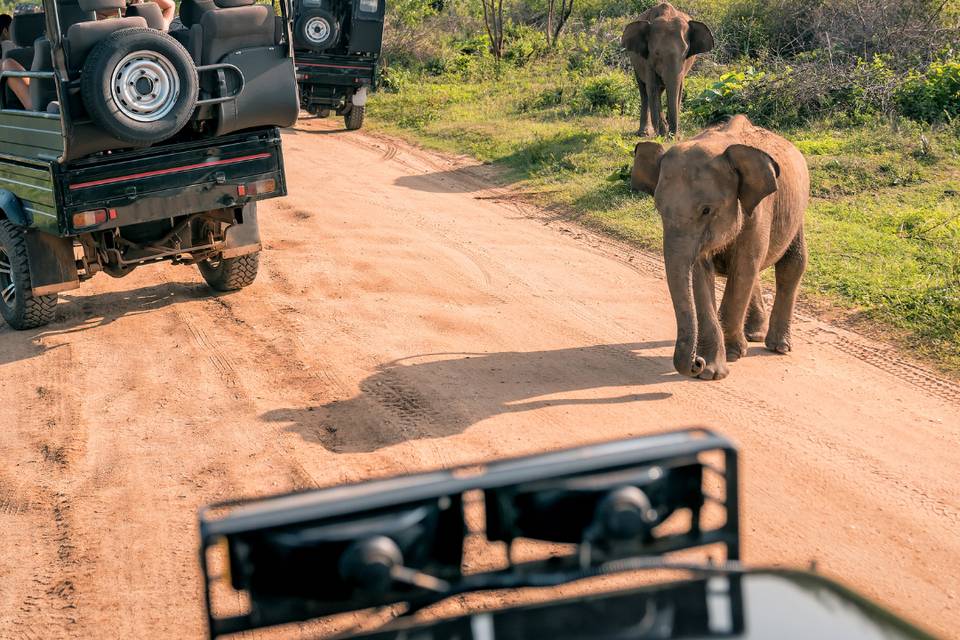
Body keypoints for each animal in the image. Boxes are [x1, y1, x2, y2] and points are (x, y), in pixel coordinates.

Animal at [624, 2, 712, 138]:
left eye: (686, 53)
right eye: (656, 53)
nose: (673, 136)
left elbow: (678, 89)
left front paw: (670, 134)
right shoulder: (647, 60)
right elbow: (652, 87)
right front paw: (662, 133)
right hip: (635, 62)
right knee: (644, 91)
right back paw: (644, 133)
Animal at [632, 115, 808, 380]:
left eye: (706, 210)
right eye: (659, 209)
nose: (696, 362)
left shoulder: (759, 211)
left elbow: (744, 267)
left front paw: (733, 354)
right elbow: (700, 274)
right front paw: (712, 371)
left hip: (797, 213)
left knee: (791, 265)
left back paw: (777, 347)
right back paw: (753, 335)